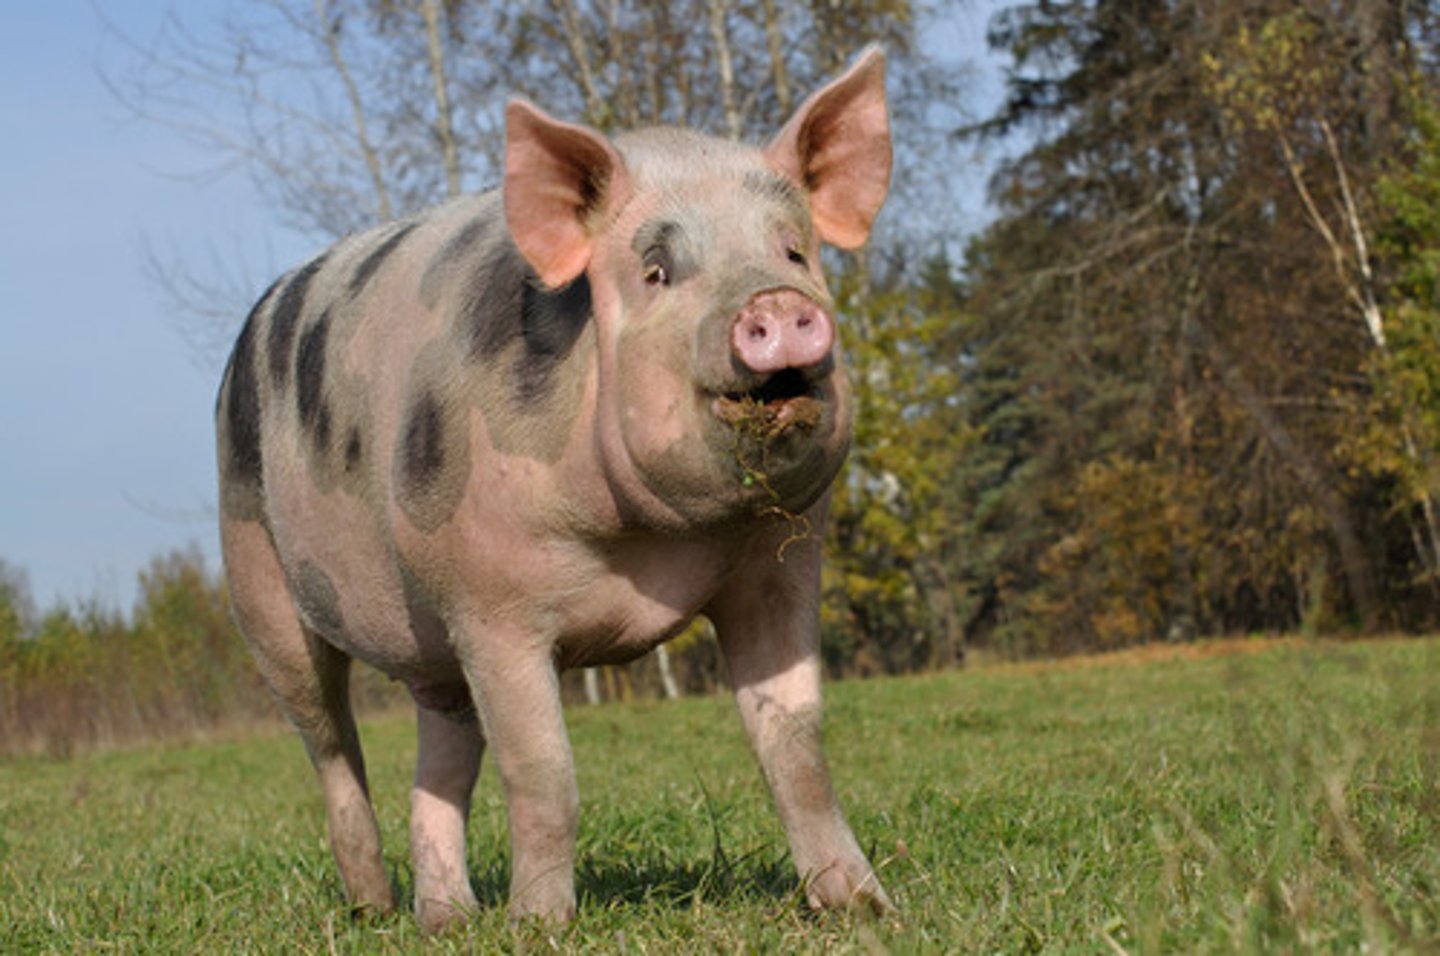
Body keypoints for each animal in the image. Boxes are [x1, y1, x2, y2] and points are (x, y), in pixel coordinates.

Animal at [215, 46, 893, 931]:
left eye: (793, 252)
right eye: (657, 271)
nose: (777, 304)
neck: (650, 542)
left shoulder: (778, 565)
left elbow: (796, 744)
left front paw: (866, 907)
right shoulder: (490, 604)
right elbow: (544, 773)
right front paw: (538, 927)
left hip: (433, 643)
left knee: (440, 759)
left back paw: (447, 919)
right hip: (260, 582)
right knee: (332, 749)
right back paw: (373, 909)